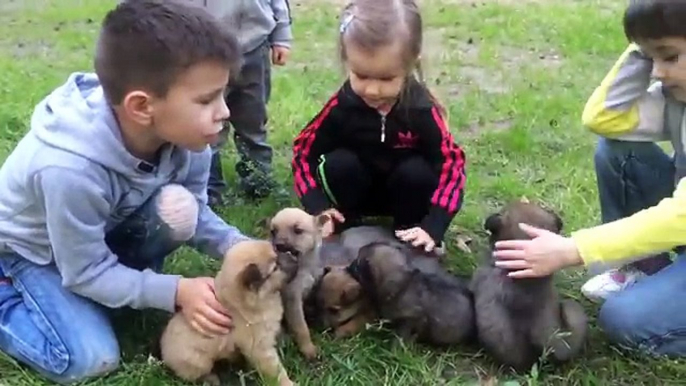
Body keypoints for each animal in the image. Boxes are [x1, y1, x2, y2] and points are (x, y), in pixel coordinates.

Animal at [163, 241, 302, 386]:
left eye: (276, 251)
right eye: (275, 268)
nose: (294, 257)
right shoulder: (260, 349)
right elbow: (277, 371)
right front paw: (288, 383)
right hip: (199, 361)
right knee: (198, 375)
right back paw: (212, 378)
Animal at [268, 208, 334, 358]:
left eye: (298, 230)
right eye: (273, 231)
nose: (278, 246)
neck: (305, 266)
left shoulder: (314, 287)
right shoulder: (292, 298)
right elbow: (301, 327)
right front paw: (308, 349)